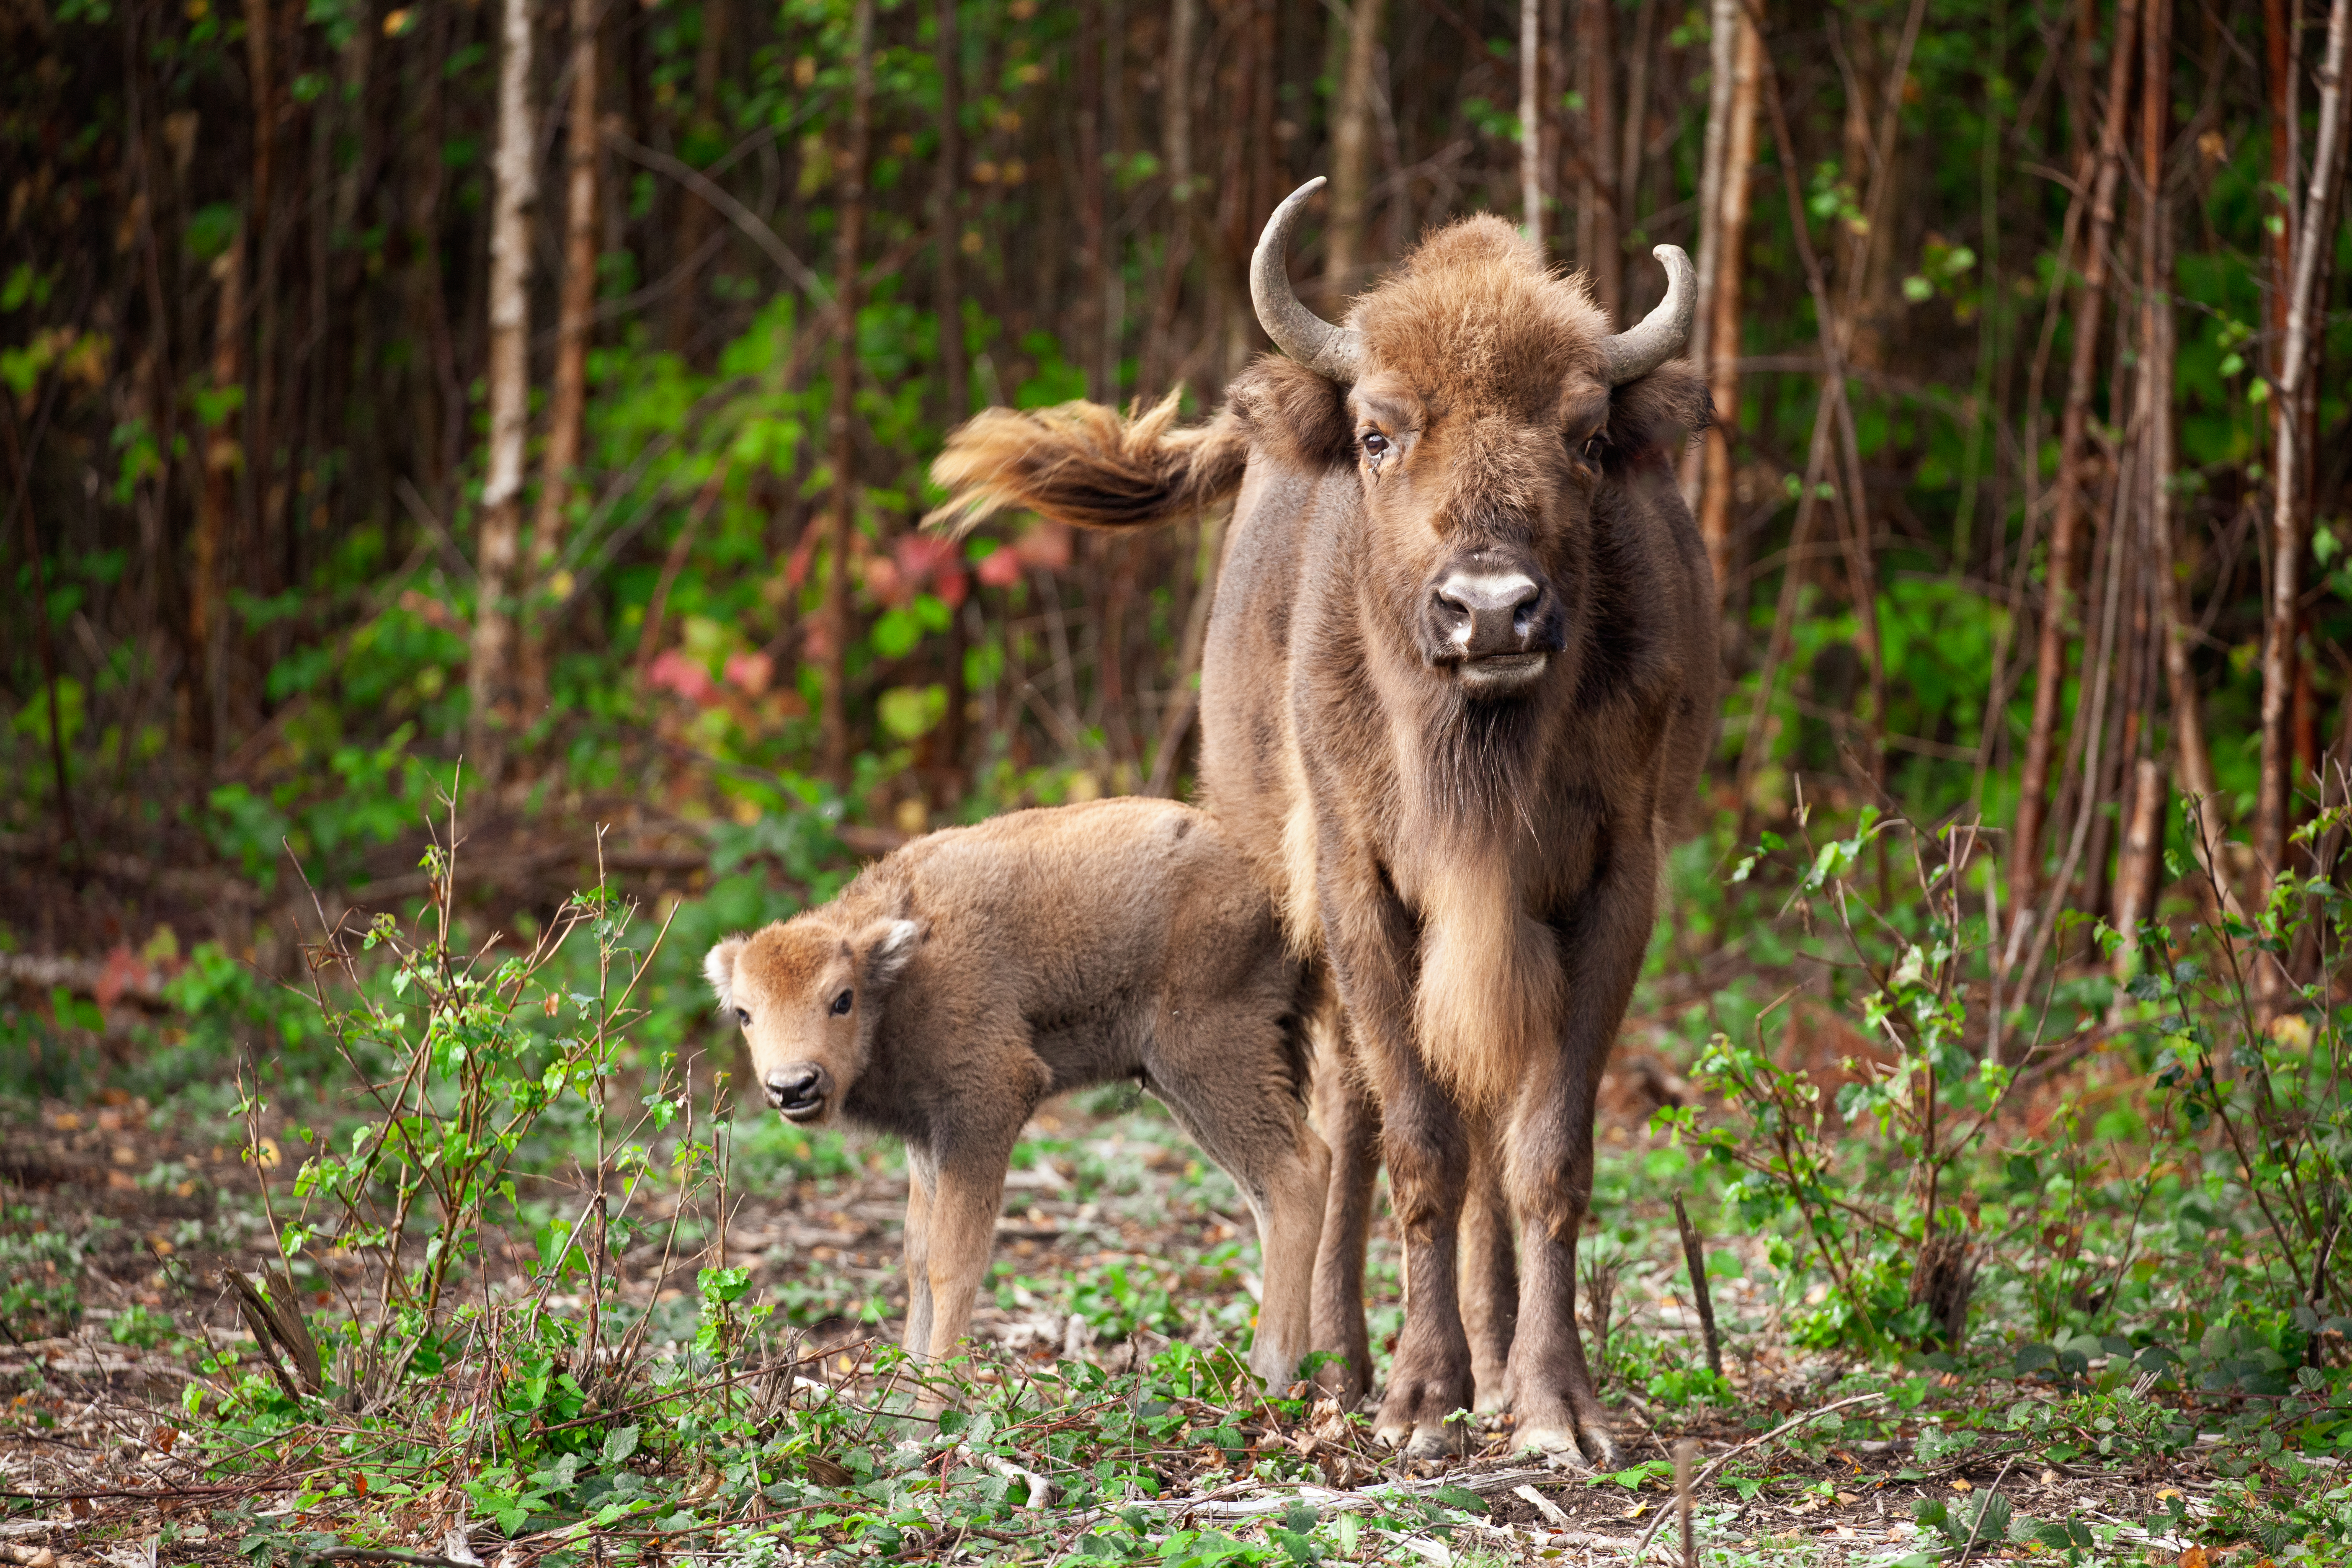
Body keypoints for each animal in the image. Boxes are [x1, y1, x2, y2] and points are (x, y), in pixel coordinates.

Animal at [929, 180, 1715, 1465]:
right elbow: (1419, 1143)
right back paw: (1342, 1365)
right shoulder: (1361, 886)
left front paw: (1552, 1407)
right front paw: (1419, 1401)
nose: (1490, 611)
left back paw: (1490, 1360)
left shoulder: (1611, 887)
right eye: (1379, 435)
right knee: (1351, 1126)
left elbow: (1545, 1150)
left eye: (1589, 439)